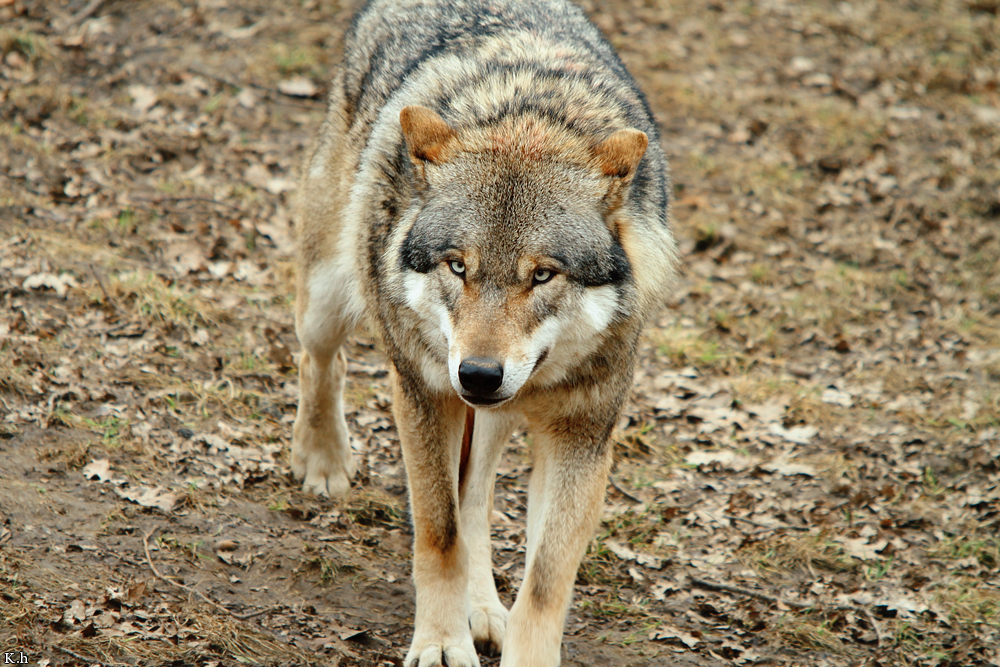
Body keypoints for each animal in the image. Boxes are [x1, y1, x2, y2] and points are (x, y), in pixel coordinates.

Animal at [290, 0, 678, 665]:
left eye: (543, 274)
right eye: (457, 266)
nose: (477, 373)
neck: (529, 117)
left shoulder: (583, 436)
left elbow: (544, 580)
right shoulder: (426, 396)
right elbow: (439, 532)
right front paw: (442, 644)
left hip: (493, 409)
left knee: (476, 494)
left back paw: (483, 607)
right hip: (329, 299)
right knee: (321, 362)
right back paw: (323, 460)